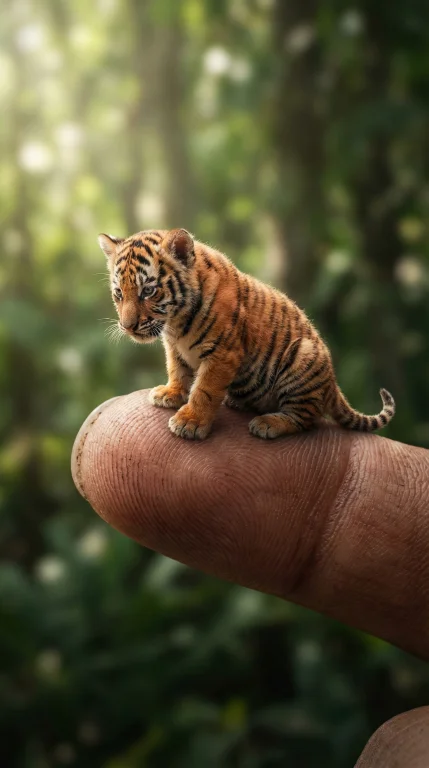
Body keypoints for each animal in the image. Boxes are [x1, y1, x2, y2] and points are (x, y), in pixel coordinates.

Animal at [99, 228, 395, 440]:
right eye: (119, 293)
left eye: (148, 291)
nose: (127, 326)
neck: (175, 321)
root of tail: (332, 383)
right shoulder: (174, 348)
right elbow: (177, 370)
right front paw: (170, 393)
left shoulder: (222, 354)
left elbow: (204, 390)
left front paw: (190, 422)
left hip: (303, 356)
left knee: (305, 418)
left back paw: (267, 423)